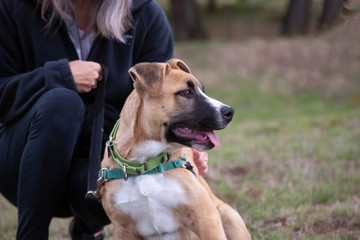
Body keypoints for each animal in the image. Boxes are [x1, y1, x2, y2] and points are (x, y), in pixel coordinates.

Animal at [98, 58, 250, 240]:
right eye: (186, 92)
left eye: (202, 90)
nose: (230, 112)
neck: (146, 164)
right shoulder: (122, 228)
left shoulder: (206, 217)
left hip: (229, 215)